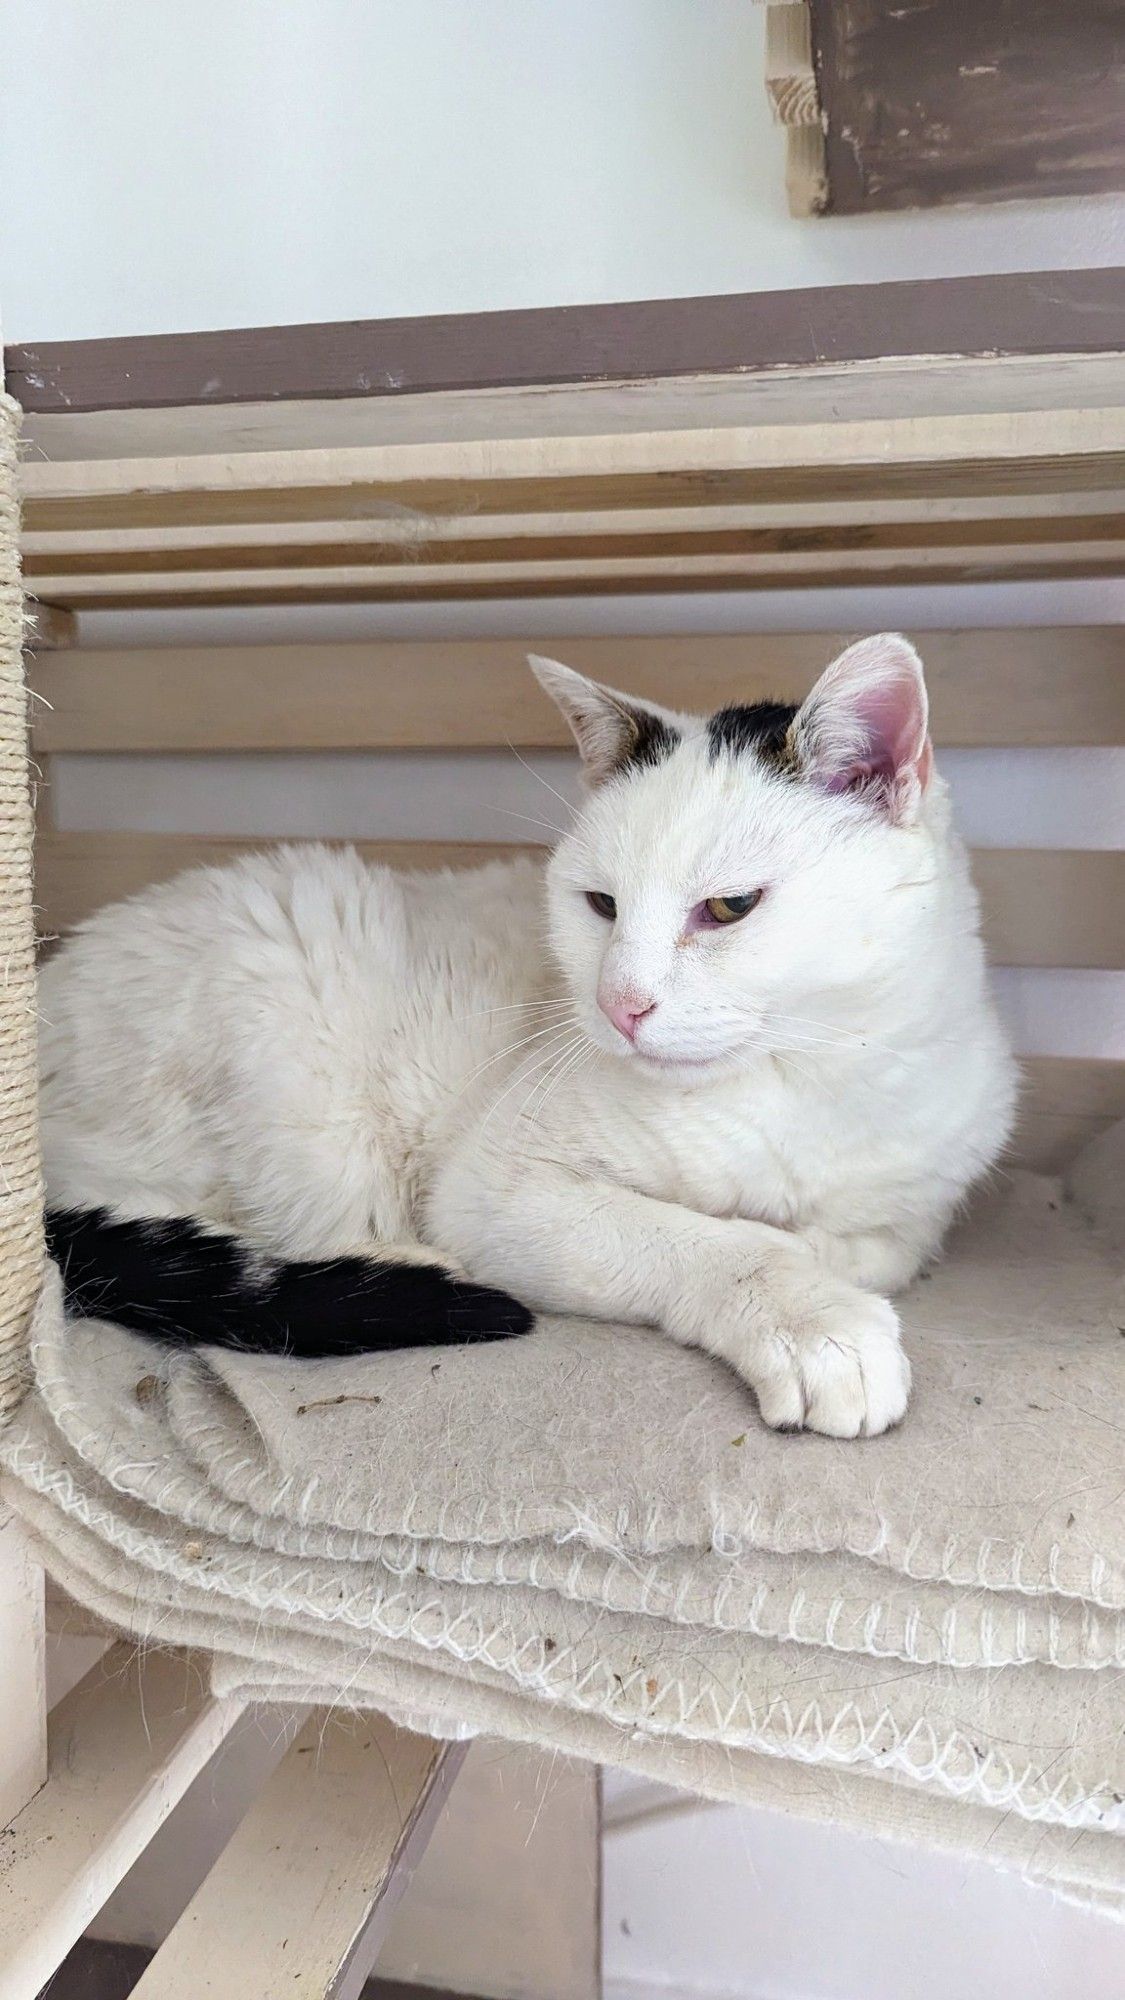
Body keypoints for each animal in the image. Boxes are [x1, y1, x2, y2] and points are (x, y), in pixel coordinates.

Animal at [39, 632, 1012, 1432]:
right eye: (599, 905)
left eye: (729, 907)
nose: (619, 1004)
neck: (810, 1079)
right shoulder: (504, 1190)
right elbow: (713, 1241)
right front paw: (811, 1318)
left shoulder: (914, 1208)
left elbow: (868, 1248)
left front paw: (817, 1256)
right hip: (276, 1011)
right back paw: (410, 1262)